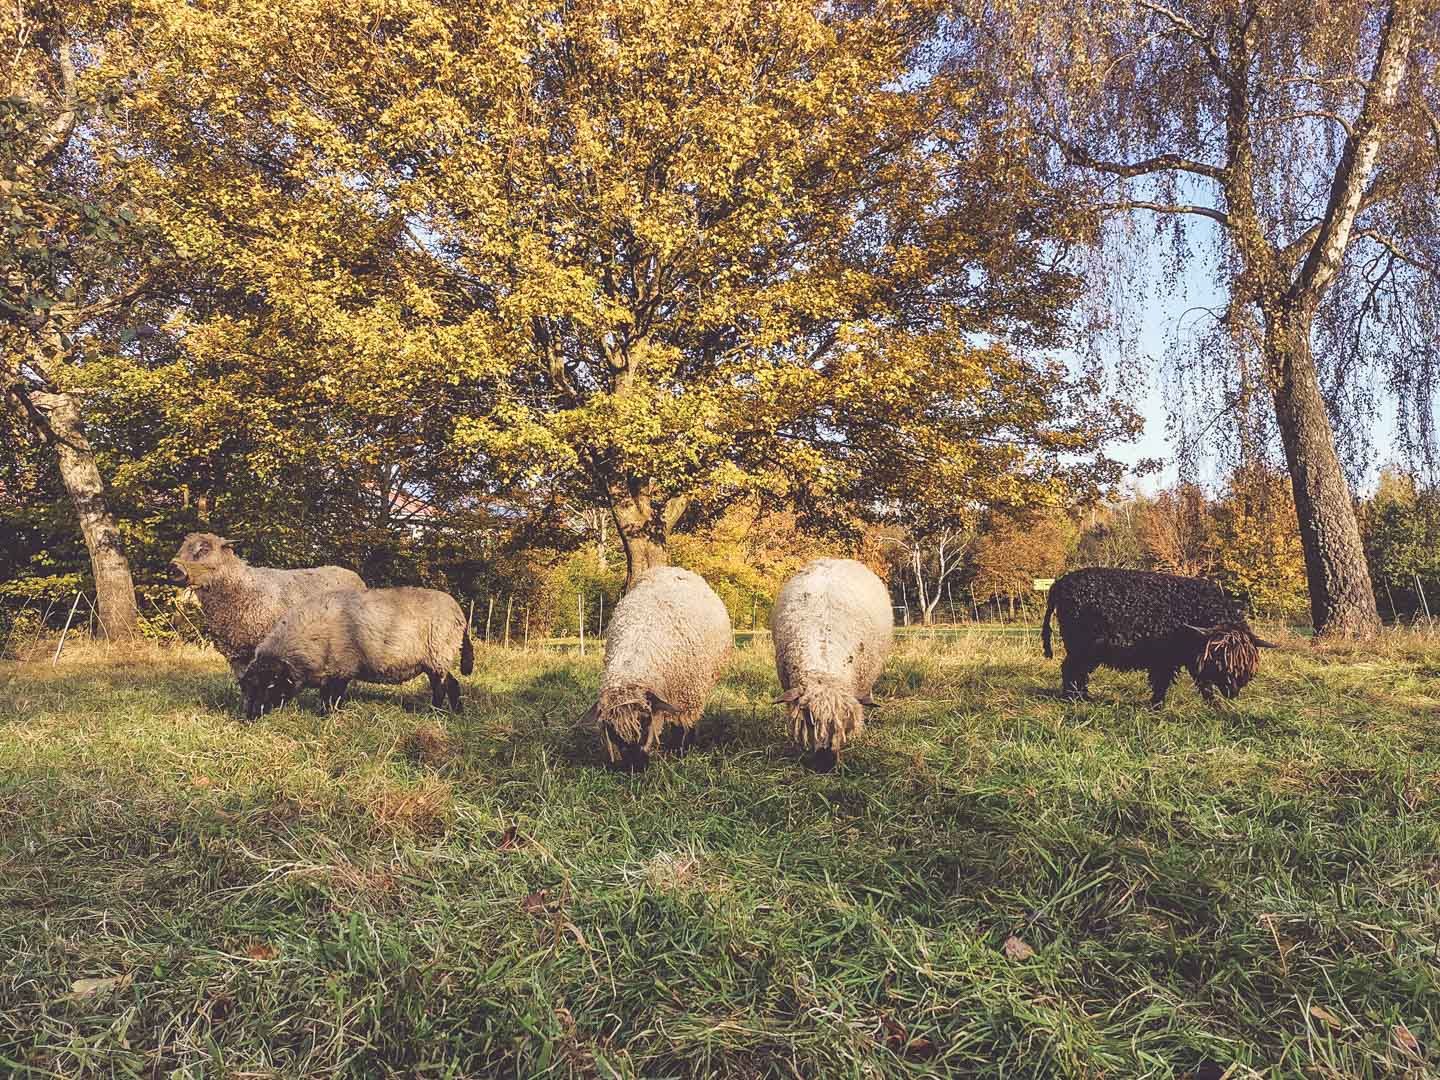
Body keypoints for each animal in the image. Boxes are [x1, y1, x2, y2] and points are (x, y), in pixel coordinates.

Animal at [239, 586, 474, 721]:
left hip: (438, 654)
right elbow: (325, 696)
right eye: (250, 687)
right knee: (453, 684)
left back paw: (435, 713)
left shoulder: (343, 669)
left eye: (271, 685)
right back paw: (457, 713)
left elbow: (333, 698)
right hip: (438, 659)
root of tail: (460, 613)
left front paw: (327, 717)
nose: (251, 717)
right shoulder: (328, 672)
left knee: (440, 688)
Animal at [585, 566, 733, 771]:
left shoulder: (688, 694)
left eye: (645, 721)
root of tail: (673, 568)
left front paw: (681, 751)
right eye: (613, 732)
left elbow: (683, 725)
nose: (635, 768)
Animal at [1041, 567, 1276, 705]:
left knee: (1078, 671)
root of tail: (1059, 584)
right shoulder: (1166, 658)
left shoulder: (1187, 657)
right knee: (1071, 669)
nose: (1233, 691)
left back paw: (1083, 696)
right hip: (1081, 646)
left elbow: (1201, 684)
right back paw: (1073, 698)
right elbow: (1163, 682)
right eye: (1221, 660)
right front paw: (1157, 705)